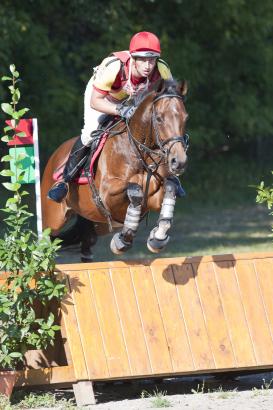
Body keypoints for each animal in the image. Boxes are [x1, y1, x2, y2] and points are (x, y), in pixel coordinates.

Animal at [40, 79, 188, 260]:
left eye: (185, 117)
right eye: (159, 118)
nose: (179, 162)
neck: (138, 152)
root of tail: (55, 156)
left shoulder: (153, 197)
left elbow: (169, 187)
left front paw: (157, 238)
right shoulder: (107, 194)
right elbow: (135, 190)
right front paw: (123, 241)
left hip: (97, 223)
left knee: (86, 243)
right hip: (52, 218)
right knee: (45, 238)